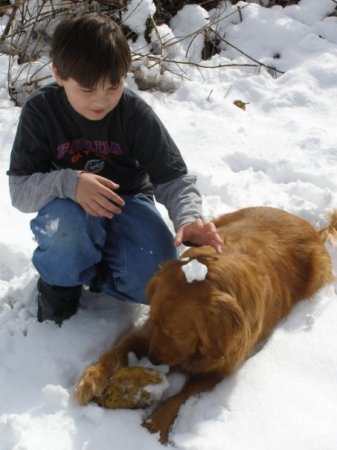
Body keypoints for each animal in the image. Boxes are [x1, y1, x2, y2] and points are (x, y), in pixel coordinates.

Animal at [73, 207, 334, 442]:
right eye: (155, 322)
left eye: (176, 332)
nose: (154, 360)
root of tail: (311, 227)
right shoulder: (146, 334)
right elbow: (118, 349)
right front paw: (91, 378)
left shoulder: (219, 369)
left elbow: (182, 396)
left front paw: (154, 425)